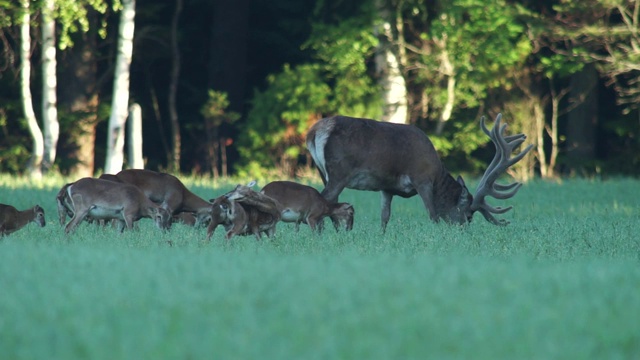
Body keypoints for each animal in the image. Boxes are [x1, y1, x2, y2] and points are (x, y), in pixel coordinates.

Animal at [308, 112, 532, 231]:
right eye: (469, 215)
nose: (464, 231)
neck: (438, 175)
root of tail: (314, 132)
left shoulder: (386, 187)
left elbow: (384, 216)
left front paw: (382, 236)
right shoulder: (422, 178)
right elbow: (432, 214)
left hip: (323, 171)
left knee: (330, 200)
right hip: (339, 171)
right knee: (324, 198)